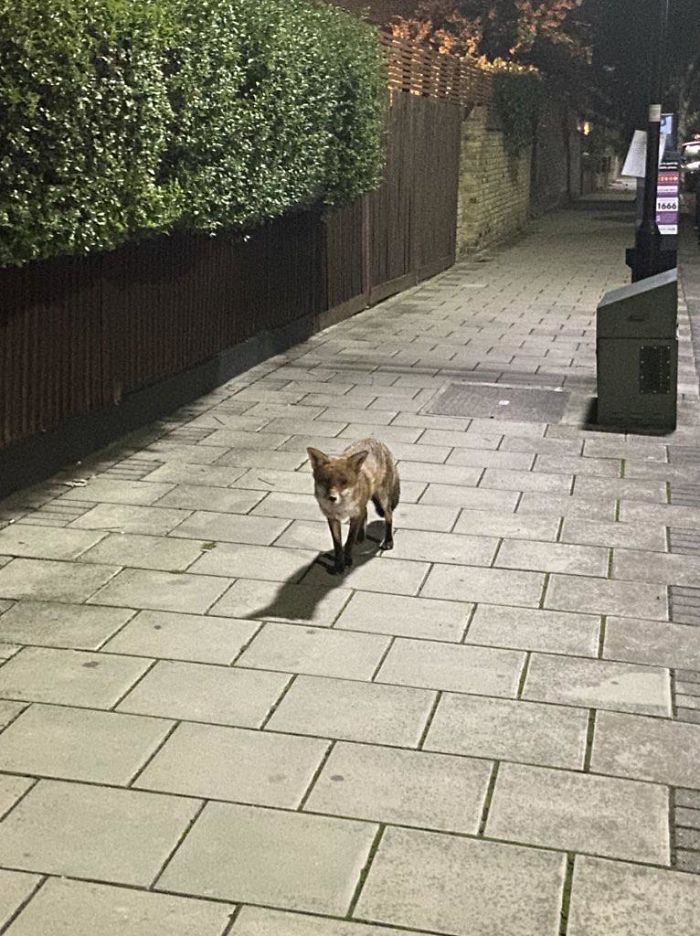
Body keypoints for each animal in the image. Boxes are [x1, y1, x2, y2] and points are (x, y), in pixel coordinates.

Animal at [307, 437, 400, 575]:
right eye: (326, 480)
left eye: (344, 482)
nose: (332, 498)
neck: (341, 508)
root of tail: (375, 440)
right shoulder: (332, 518)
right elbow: (338, 545)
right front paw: (338, 565)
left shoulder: (355, 515)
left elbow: (349, 540)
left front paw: (347, 560)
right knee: (365, 511)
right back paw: (361, 535)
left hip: (383, 499)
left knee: (389, 516)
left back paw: (388, 541)